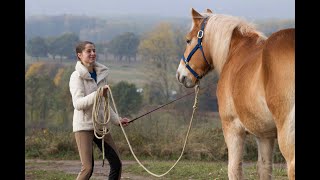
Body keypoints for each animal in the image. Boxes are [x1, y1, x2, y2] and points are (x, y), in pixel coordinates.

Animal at [176, 8, 294, 180]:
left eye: (187, 40)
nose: (181, 75)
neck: (235, 51)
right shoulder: (264, 135)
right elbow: (264, 168)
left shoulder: (232, 128)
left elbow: (234, 168)